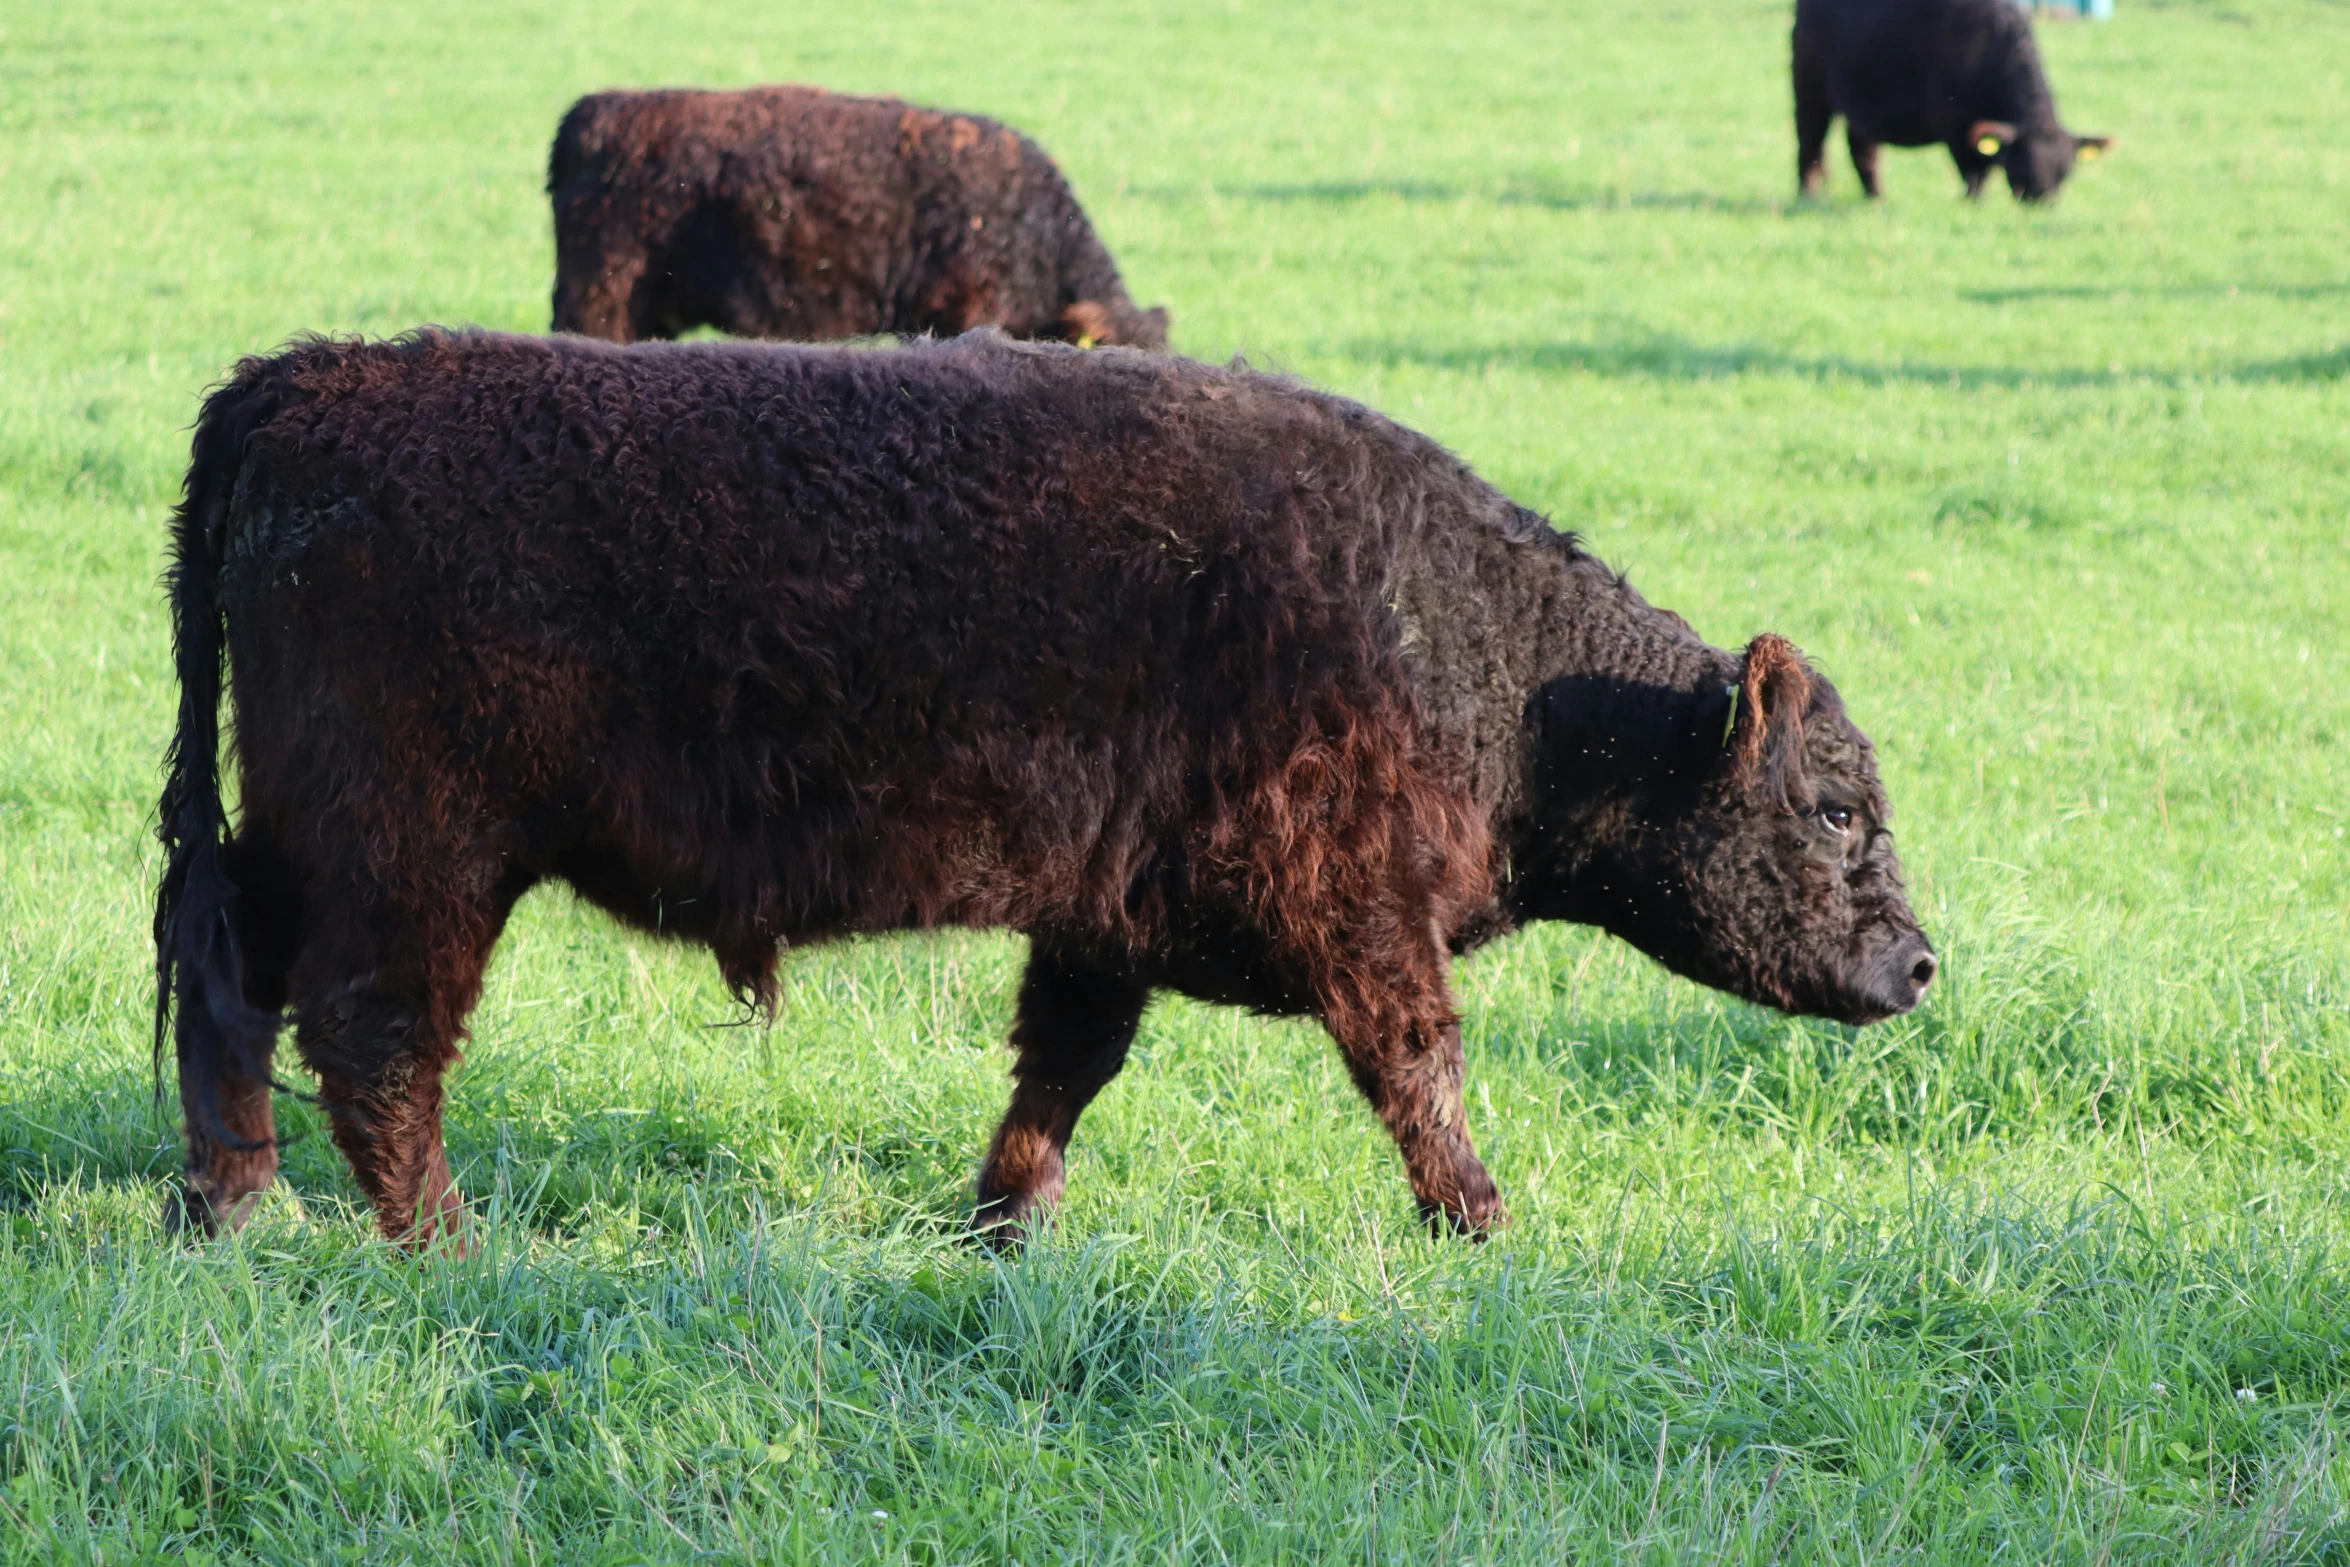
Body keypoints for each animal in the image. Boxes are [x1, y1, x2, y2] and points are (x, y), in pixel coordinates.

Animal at [156, 328, 1936, 1249]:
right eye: (1834, 807)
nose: (1919, 963)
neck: (1467, 642)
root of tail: (299, 379)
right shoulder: (1360, 916)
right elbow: (1416, 1069)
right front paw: (1485, 1222)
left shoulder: (1106, 916)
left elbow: (1059, 1073)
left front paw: (999, 1228)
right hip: (417, 852)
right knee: (375, 1033)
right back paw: (442, 1240)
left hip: (307, 840)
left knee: (228, 980)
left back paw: (238, 1204)